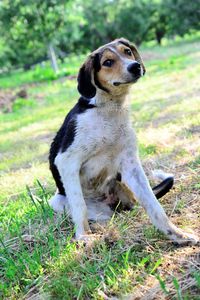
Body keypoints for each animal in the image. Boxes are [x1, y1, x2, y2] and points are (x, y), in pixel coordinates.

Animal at [48, 37, 198, 245]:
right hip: (61, 202)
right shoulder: (67, 160)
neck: (108, 109)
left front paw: (177, 235)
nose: (135, 66)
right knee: (89, 212)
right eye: (108, 62)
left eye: (127, 51)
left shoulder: (130, 165)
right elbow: (79, 206)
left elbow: (154, 206)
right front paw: (84, 237)